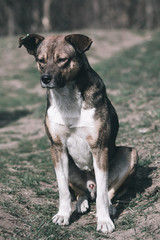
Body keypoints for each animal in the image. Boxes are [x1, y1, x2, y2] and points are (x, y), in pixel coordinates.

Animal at [18, 33, 138, 232]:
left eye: (62, 60)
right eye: (40, 60)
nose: (45, 78)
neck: (67, 97)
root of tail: (90, 185)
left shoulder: (100, 148)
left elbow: (103, 195)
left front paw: (104, 221)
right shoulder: (57, 148)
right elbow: (63, 191)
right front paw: (63, 215)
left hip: (129, 153)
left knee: (107, 192)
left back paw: (109, 208)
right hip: (69, 166)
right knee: (81, 192)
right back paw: (81, 203)